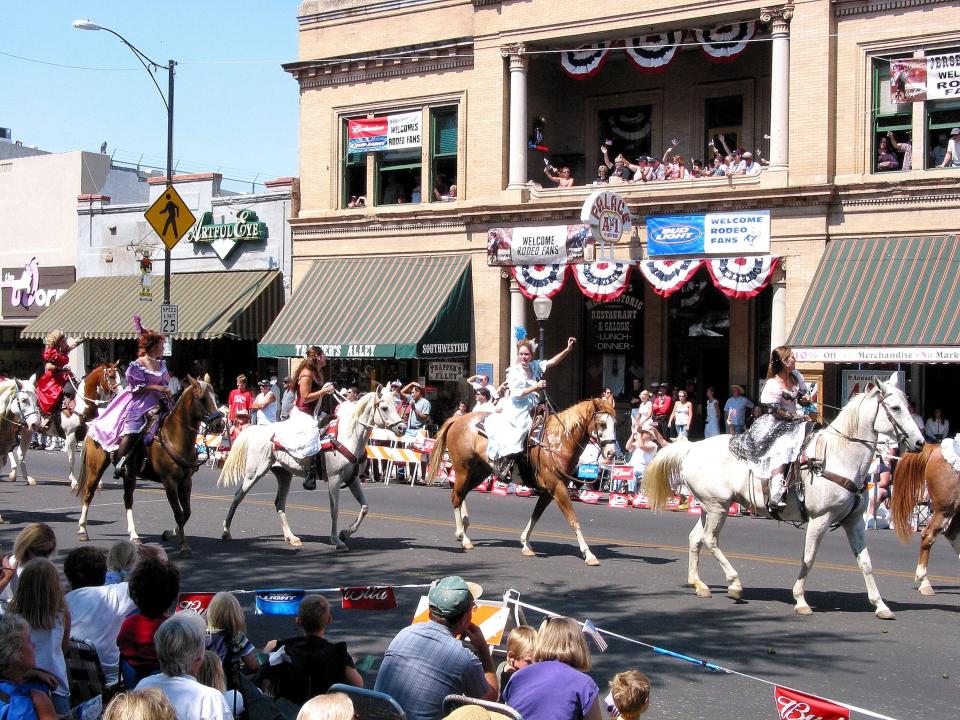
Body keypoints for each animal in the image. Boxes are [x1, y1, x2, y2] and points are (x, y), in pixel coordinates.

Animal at [73, 376, 221, 556]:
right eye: (202, 399)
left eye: (217, 398)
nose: (219, 424)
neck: (174, 437)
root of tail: (93, 424)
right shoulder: (169, 482)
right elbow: (179, 514)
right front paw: (184, 545)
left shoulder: (186, 481)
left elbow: (186, 513)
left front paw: (168, 534)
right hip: (96, 468)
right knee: (89, 494)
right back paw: (82, 530)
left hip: (129, 474)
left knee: (128, 500)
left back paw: (134, 535)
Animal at [218, 388, 404, 552]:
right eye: (384, 407)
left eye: (396, 405)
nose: (402, 428)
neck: (349, 437)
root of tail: (259, 430)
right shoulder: (334, 479)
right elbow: (334, 510)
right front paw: (337, 541)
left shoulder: (353, 479)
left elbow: (365, 507)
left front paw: (345, 533)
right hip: (254, 473)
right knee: (238, 496)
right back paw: (226, 532)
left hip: (284, 475)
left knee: (279, 504)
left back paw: (291, 537)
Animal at [426, 396, 616, 564]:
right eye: (602, 424)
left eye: (615, 423)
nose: (612, 453)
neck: (558, 441)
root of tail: (458, 420)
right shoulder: (557, 487)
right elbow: (573, 520)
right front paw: (588, 554)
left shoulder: (549, 491)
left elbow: (535, 516)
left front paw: (525, 544)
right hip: (463, 470)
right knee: (456, 497)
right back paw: (463, 536)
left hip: (479, 471)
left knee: (462, 494)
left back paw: (464, 527)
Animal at [640, 372, 928, 620]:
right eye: (896, 408)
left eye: (907, 405)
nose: (920, 443)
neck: (839, 456)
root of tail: (693, 447)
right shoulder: (820, 519)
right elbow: (808, 558)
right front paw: (800, 600)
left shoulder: (854, 521)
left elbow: (865, 562)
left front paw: (880, 605)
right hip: (718, 508)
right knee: (710, 540)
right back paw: (734, 584)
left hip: (709, 507)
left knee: (695, 539)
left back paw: (699, 584)